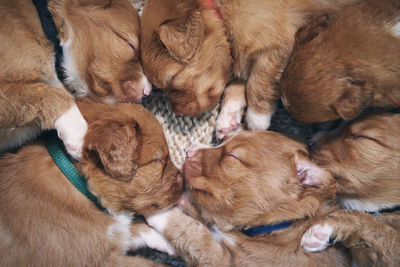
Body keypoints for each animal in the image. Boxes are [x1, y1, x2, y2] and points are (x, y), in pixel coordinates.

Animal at [0, 99, 184, 266]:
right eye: (158, 160)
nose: (183, 182)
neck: (81, 185)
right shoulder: (100, 260)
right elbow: (150, 262)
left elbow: (133, 229)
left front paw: (170, 243)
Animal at [141, 0, 360, 139]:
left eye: (173, 80)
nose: (178, 114)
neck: (221, 11)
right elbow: (239, 82)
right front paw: (228, 117)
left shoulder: (278, 46)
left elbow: (257, 82)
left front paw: (257, 118)